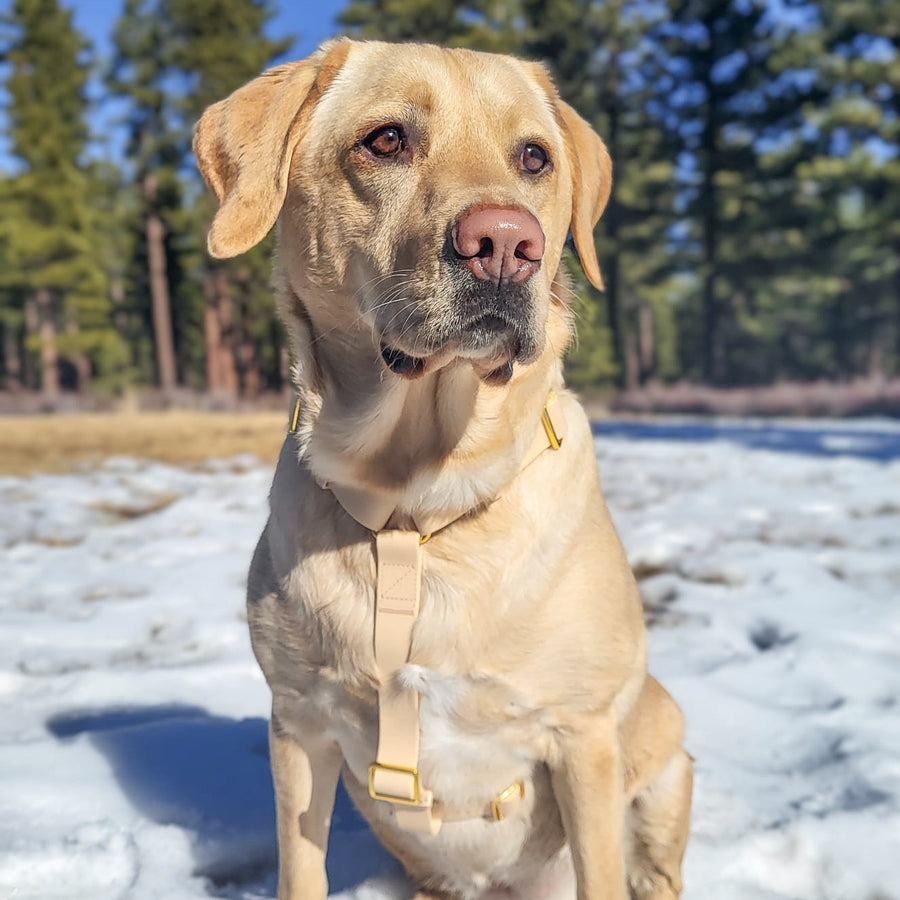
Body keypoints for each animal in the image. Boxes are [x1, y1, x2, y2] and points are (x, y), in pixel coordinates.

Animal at [195, 38, 688, 900]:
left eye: (535, 157)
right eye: (386, 139)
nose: (508, 243)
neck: (416, 503)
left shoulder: (584, 737)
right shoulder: (298, 723)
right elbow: (300, 869)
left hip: (666, 766)